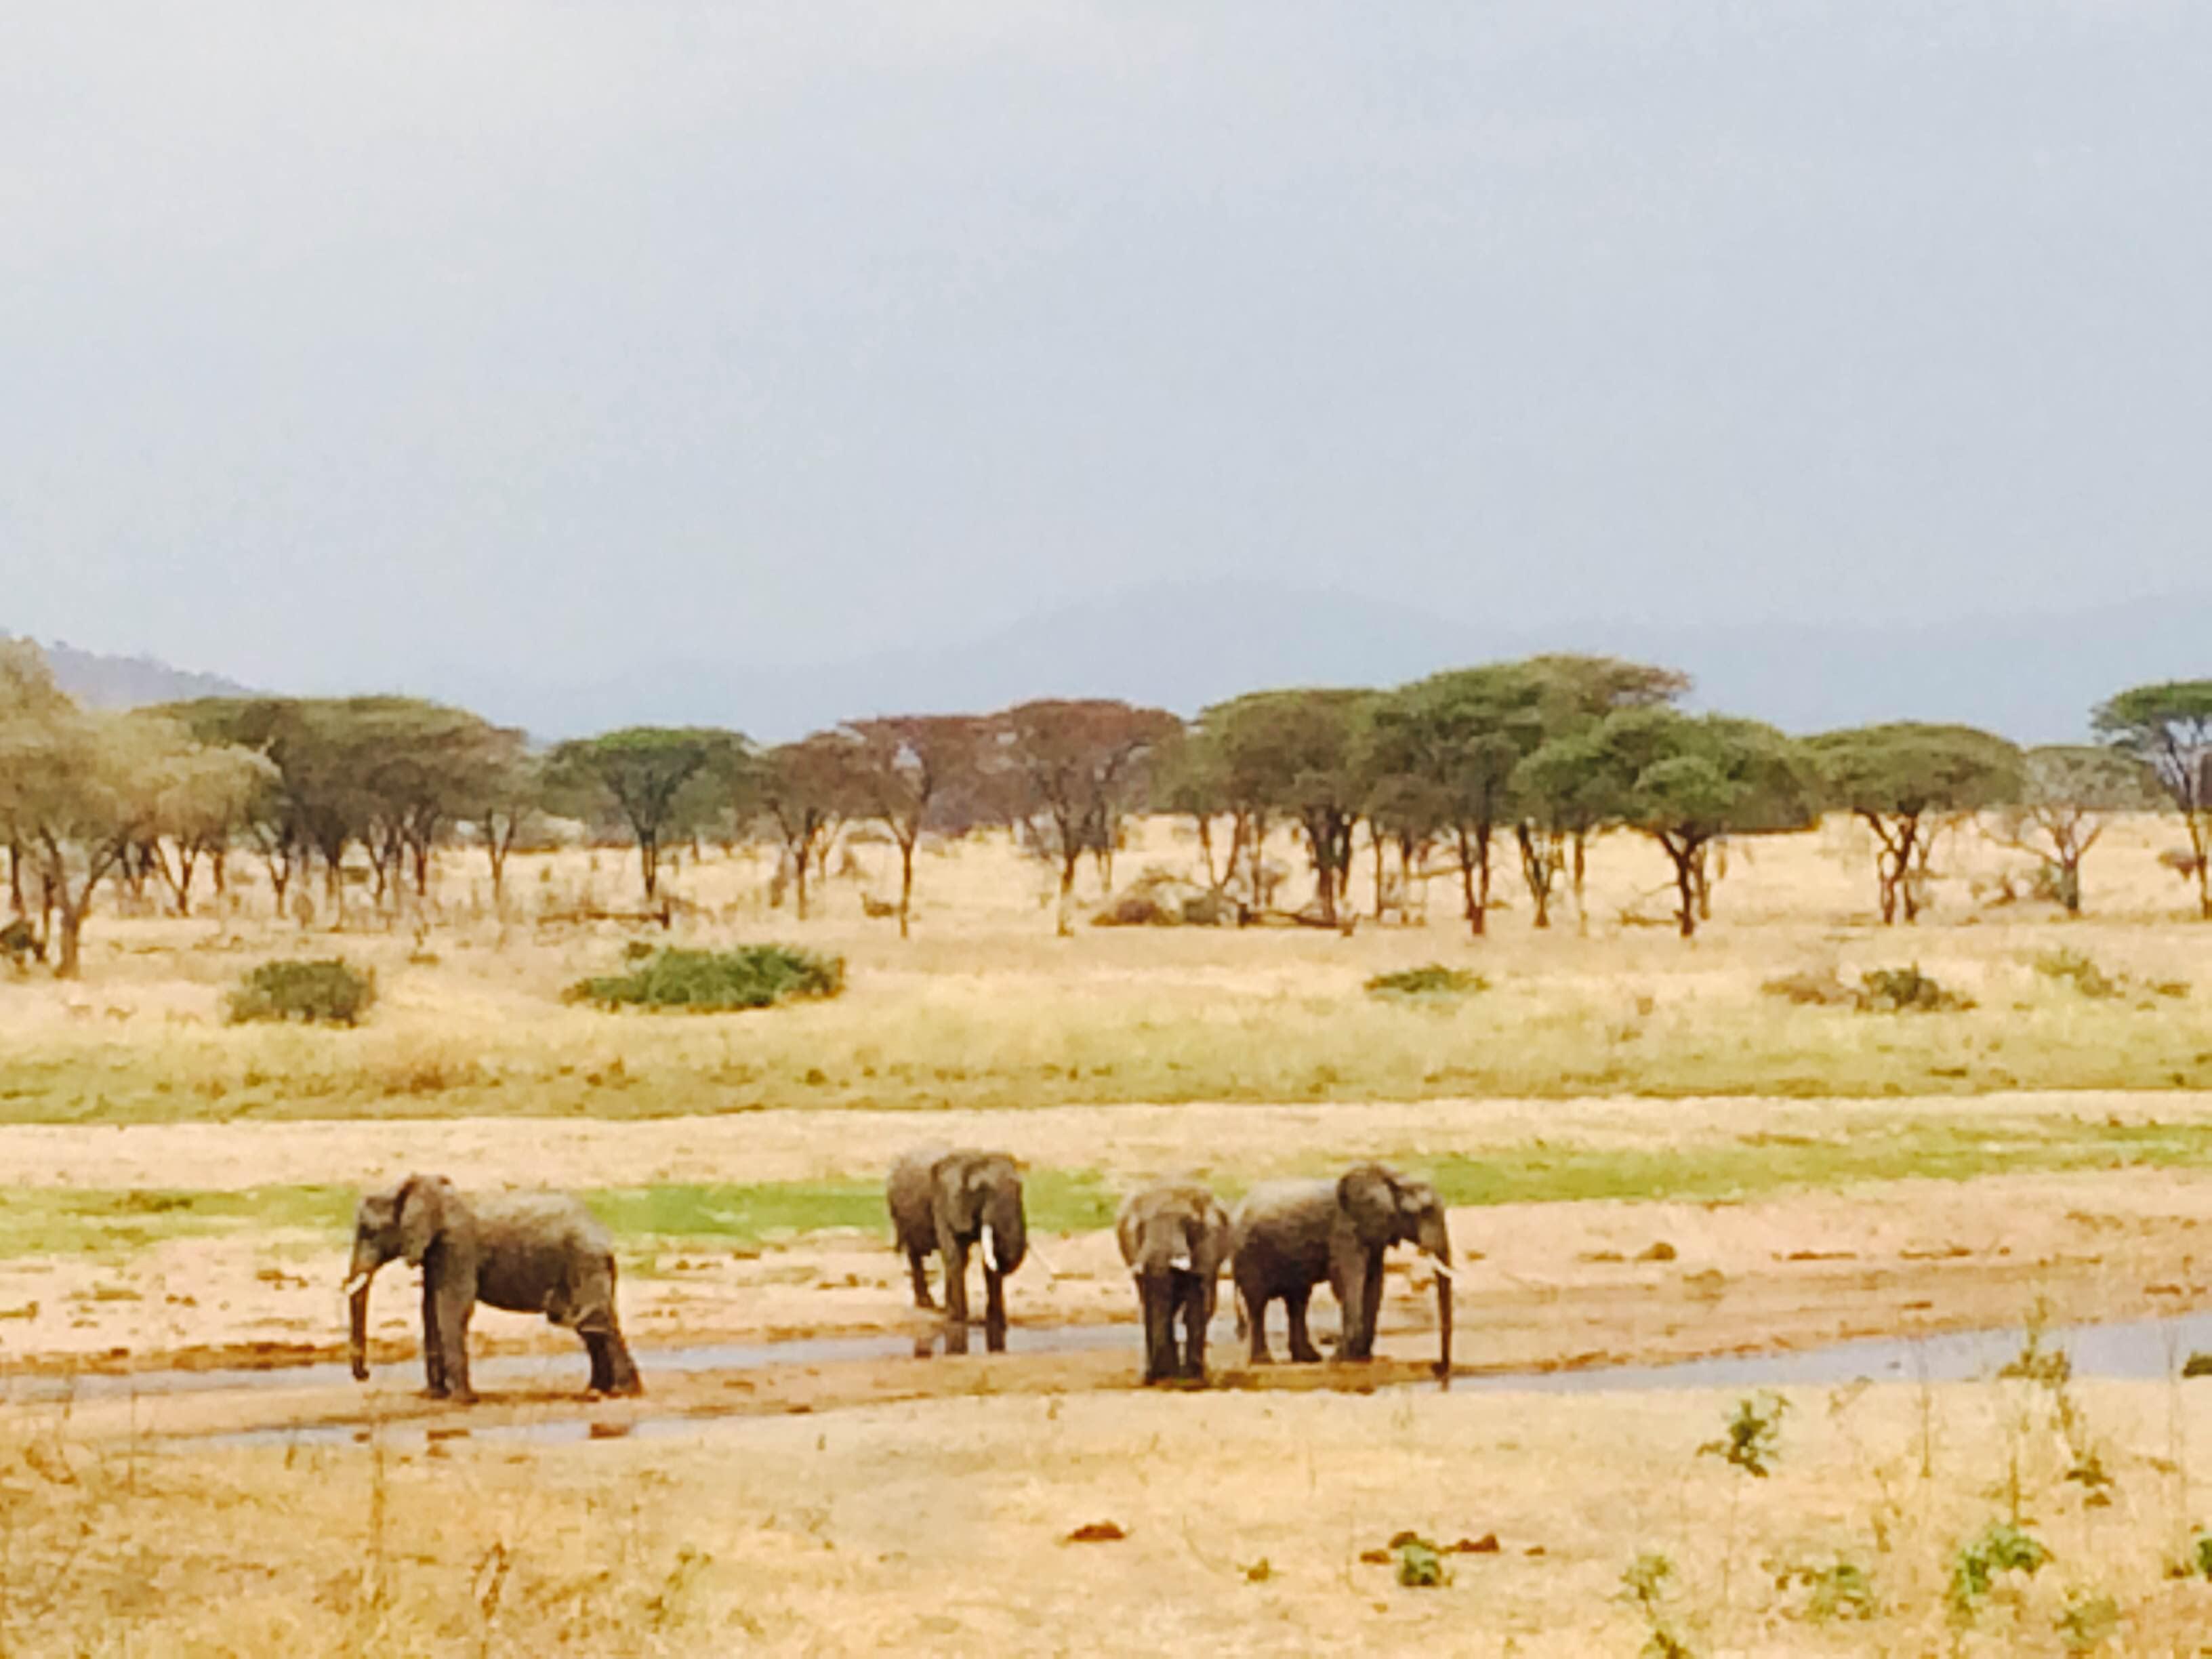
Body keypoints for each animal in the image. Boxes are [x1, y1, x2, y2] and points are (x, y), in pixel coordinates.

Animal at [342, 1176, 641, 1406]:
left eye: (369, 1232)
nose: (365, 1375)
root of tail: (603, 1231)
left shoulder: (458, 1246)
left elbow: (451, 1307)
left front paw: (461, 1401)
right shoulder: (436, 1252)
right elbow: (430, 1308)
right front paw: (433, 1396)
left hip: (584, 1261)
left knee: (594, 1320)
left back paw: (620, 1393)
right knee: (593, 1324)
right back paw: (598, 1391)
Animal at [880, 1150, 1026, 1353]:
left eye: (1020, 1189)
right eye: (981, 1191)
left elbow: (986, 1262)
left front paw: (997, 1325)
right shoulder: (943, 1201)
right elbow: (954, 1253)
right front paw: (957, 1321)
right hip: (897, 1211)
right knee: (914, 1253)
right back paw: (926, 1304)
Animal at [1115, 1185, 1238, 1389]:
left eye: (1189, 1224)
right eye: (1142, 1226)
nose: (1158, 1377)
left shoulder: (1207, 1246)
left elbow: (1197, 1296)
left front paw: (1192, 1379)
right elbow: (1151, 1303)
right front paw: (1164, 1376)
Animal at [1229, 1159, 1451, 1380]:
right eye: (1425, 1211)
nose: (1440, 1368)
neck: (1394, 1179)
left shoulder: (1374, 1235)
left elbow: (1374, 1283)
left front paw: (1361, 1357)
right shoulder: (1344, 1230)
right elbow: (1347, 1283)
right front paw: (1342, 1358)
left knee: (1298, 1300)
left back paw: (1309, 1358)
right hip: (1247, 1253)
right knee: (1258, 1303)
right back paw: (1264, 1361)